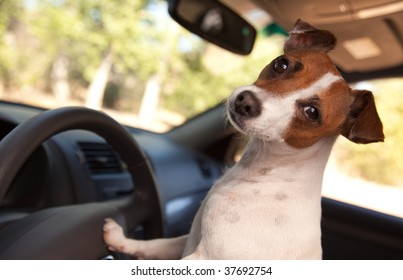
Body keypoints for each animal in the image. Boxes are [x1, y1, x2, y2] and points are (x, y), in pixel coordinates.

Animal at [102, 19, 386, 260]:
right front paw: (121, 239)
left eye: (312, 113)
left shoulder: (206, 258)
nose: (246, 102)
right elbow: (154, 245)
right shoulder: (191, 238)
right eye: (281, 64)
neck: (264, 174)